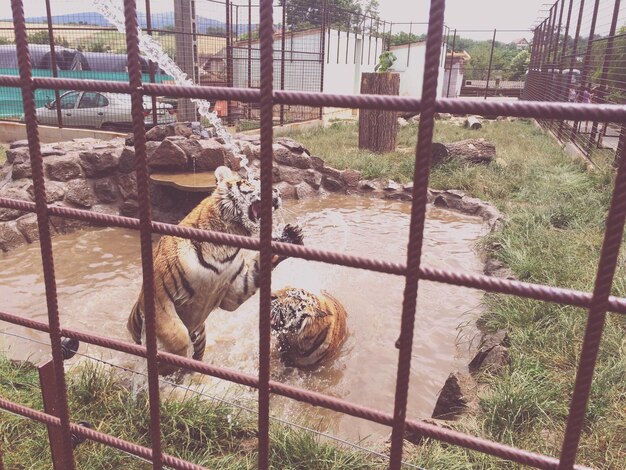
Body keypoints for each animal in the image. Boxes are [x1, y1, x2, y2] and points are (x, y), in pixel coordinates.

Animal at [127, 165, 302, 374]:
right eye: (252, 181)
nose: (278, 192)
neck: (225, 244)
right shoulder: (159, 295)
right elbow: (177, 335)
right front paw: (168, 365)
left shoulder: (233, 291)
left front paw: (290, 236)